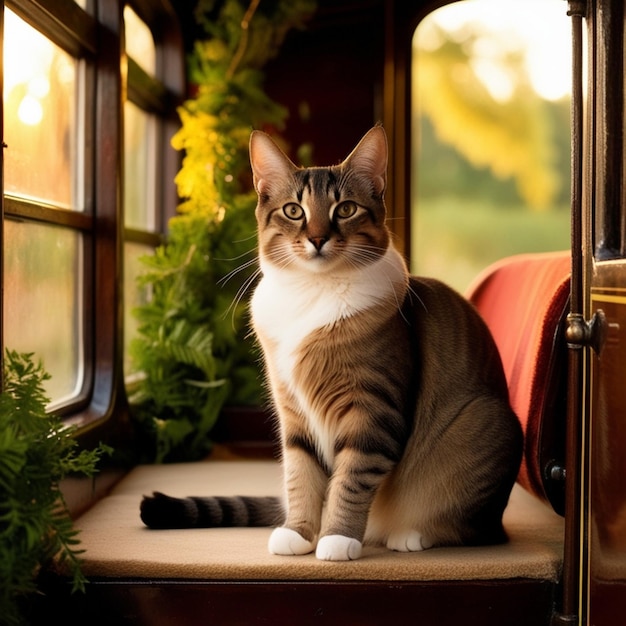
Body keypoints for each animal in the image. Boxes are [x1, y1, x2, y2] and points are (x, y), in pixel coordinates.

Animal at [140, 125, 520, 560]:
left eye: (345, 209)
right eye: (294, 211)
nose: (318, 238)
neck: (312, 292)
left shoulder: (372, 411)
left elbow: (350, 479)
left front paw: (337, 537)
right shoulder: (292, 409)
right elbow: (301, 474)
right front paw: (300, 533)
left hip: (485, 424)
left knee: (478, 529)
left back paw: (411, 534)